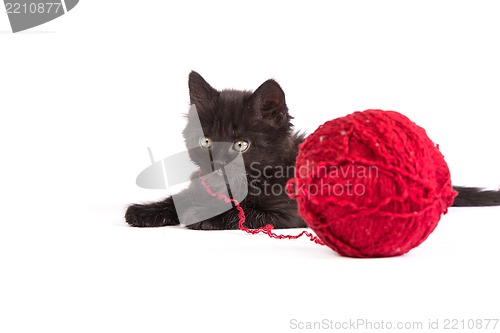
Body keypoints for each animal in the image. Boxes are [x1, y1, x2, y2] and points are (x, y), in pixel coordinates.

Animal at [126, 72, 304, 228]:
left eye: (241, 145)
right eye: (206, 141)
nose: (217, 163)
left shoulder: (284, 213)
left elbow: (242, 212)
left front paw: (201, 214)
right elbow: (180, 198)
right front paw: (143, 211)